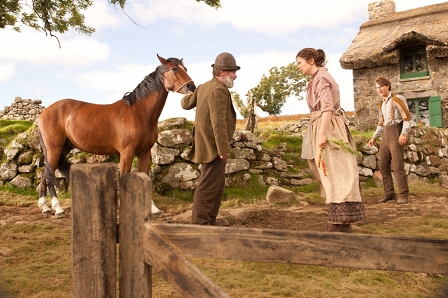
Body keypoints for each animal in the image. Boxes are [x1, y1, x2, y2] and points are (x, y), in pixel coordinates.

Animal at [36, 54, 194, 217]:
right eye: (174, 69)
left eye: (185, 69)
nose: (191, 87)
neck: (138, 113)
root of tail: (43, 114)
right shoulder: (126, 152)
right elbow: (124, 176)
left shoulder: (144, 152)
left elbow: (146, 176)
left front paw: (153, 209)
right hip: (54, 149)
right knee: (49, 174)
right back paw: (57, 208)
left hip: (63, 149)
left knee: (44, 174)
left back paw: (45, 207)